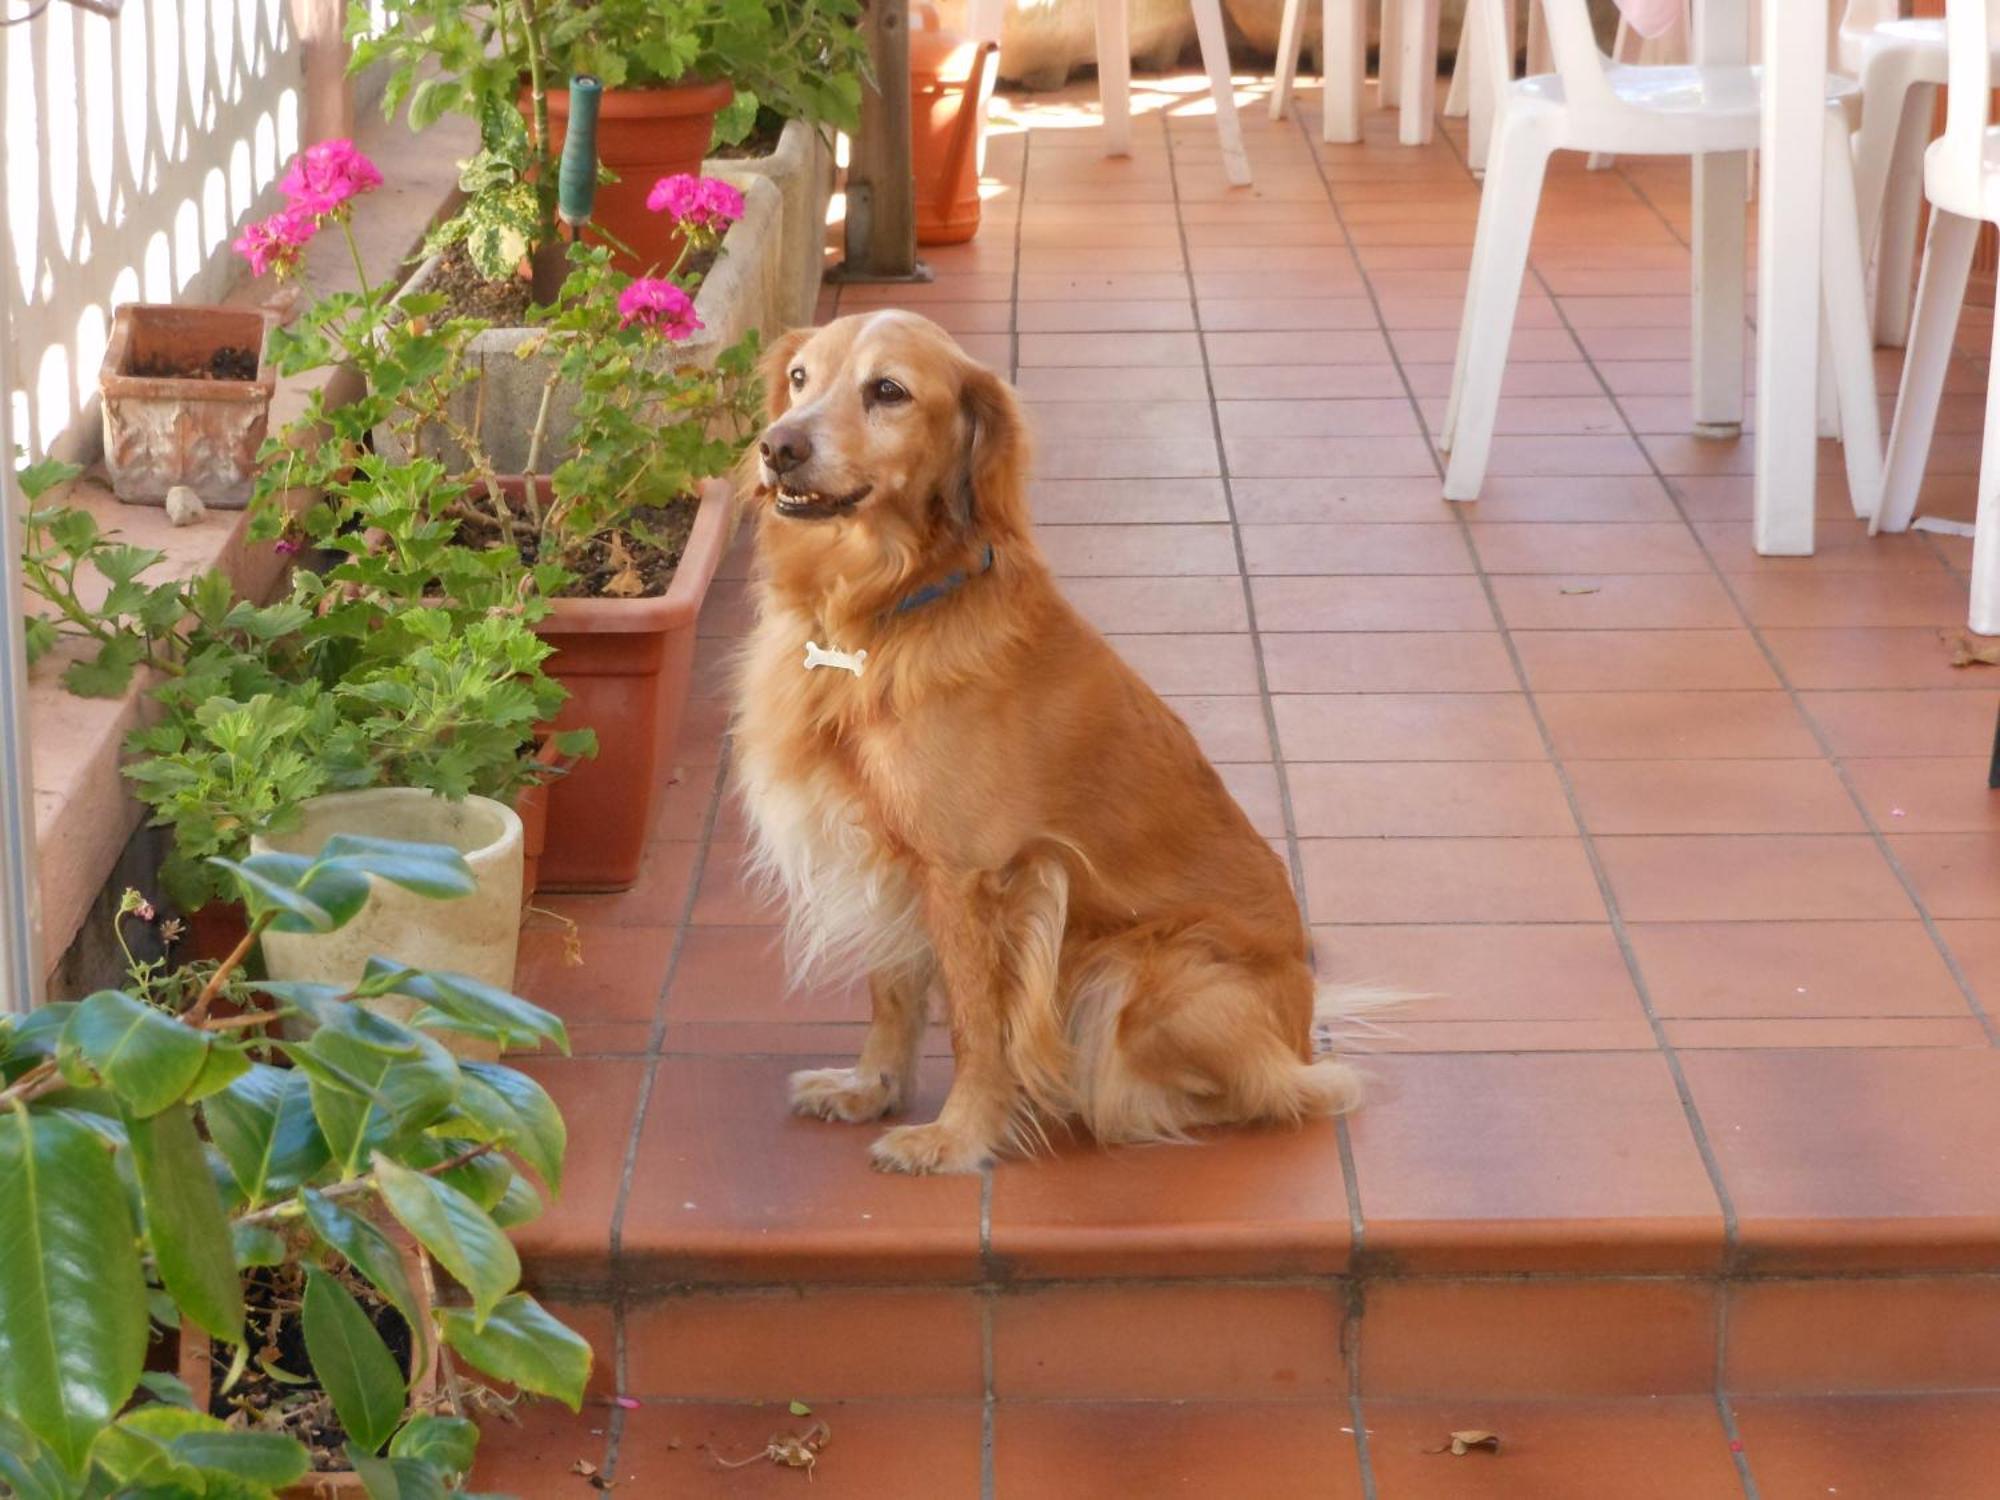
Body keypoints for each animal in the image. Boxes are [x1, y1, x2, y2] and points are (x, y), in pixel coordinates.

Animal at [736, 308, 1376, 1176]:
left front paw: (958, 1135)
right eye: (800, 377)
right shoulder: (893, 857)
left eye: (888, 391)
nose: (779, 447)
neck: (880, 611)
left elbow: (978, 1027)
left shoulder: (973, 876)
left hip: (1139, 972)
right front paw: (872, 1087)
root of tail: (1302, 1028)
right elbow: (892, 993)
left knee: (1269, 1092)